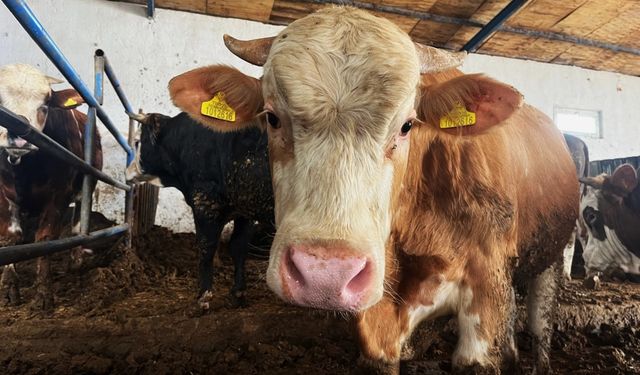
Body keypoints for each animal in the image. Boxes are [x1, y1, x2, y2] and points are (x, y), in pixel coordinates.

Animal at [0, 64, 102, 312]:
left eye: (45, 104)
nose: (18, 138)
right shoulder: (2, 193)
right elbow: (10, 237)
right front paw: (8, 288)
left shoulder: (58, 194)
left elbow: (45, 239)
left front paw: (44, 293)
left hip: (86, 188)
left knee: (78, 225)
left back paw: (76, 260)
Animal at [126, 113, 274, 310]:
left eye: (137, 141)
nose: (127, 172)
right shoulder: (244, 208)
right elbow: (238, 247)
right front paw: (238, 293)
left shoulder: (205, 201)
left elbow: (206, 248)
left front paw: (203, 297)